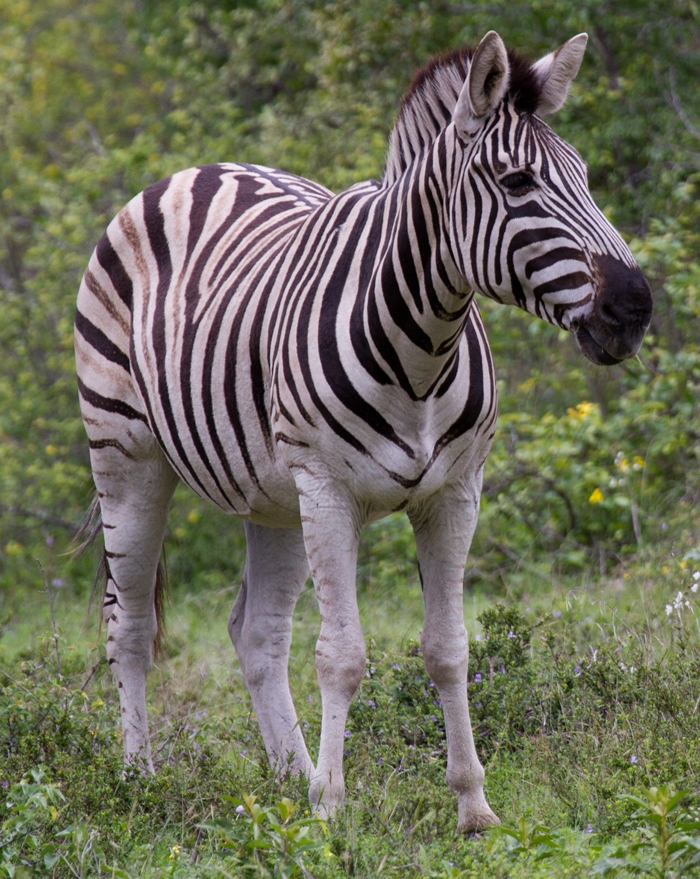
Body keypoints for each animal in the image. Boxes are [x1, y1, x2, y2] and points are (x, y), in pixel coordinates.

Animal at [75, 32, 652, 832]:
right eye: (517, 183)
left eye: (587, 177)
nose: (635, 306)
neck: (423, 349)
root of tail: (196, 170)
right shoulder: (329, 489)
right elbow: (341, 654)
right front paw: (333, 809)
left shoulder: (454, 492)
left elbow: (449, 648)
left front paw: (471, 805)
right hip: (128, 455)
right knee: (128, 625)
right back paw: (141, 781)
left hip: (273, 496)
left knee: (257, 632)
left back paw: (290, 777)